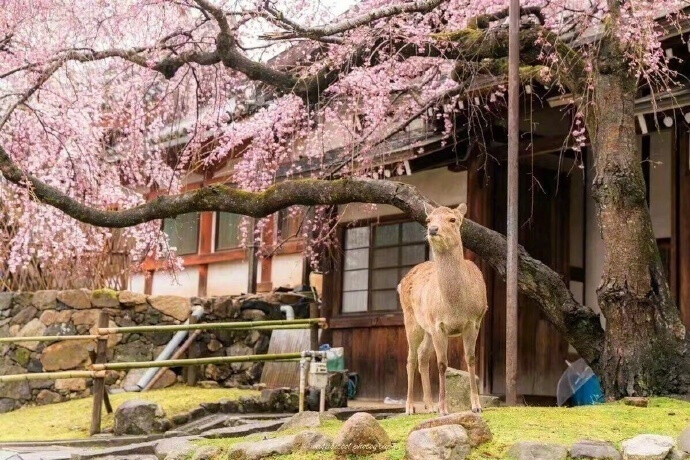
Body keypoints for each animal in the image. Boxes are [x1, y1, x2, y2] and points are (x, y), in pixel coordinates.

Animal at [396, 203, 486, 416]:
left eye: (452, 219)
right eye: (428, 220)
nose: (433, 229)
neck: (454, 305)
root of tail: (401, 283)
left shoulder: (474, 322)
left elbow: (471, 359)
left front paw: (476, 406)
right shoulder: (439, 325)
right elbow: (442, 363)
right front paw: (444, 408)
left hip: (427, 328)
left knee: (422, 355)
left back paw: (429, 405)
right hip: (411, 320)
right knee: (411, 357)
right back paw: (410, 406)